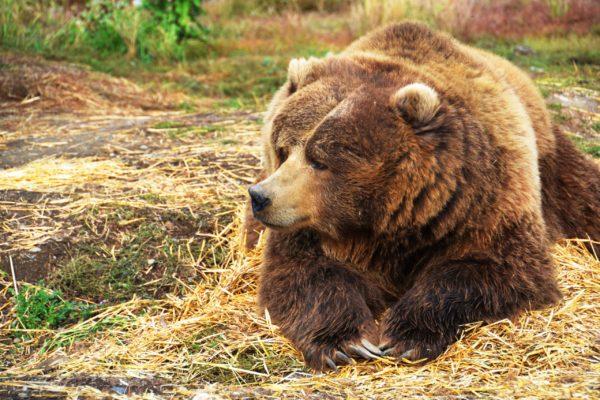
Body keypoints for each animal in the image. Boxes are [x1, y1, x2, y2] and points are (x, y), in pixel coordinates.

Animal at [244, 22, 600, 372]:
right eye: (283, 149)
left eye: (320, 160)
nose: (262, 197)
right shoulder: (308, 229)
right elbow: (302, 275)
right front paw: (347, 342)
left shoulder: (483, 202)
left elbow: (496, 268)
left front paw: (406, 336)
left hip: (552, 161)